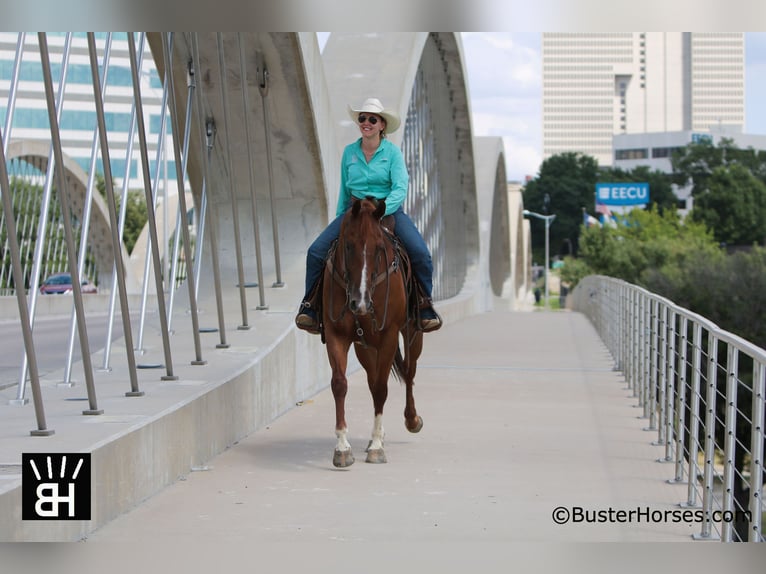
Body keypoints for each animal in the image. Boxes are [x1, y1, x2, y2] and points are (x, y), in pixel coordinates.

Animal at [320, 198, 424, 468]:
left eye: (378, 248)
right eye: (348, 246)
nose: (361, 302)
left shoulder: (389, 335)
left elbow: (381, 389)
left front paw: (377, 446)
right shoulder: (336, 334)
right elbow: (340, 384)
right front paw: (342, 448)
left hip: (412, 334)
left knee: (409, 371)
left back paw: (412, 419)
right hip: (365, 346)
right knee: (373, 377)